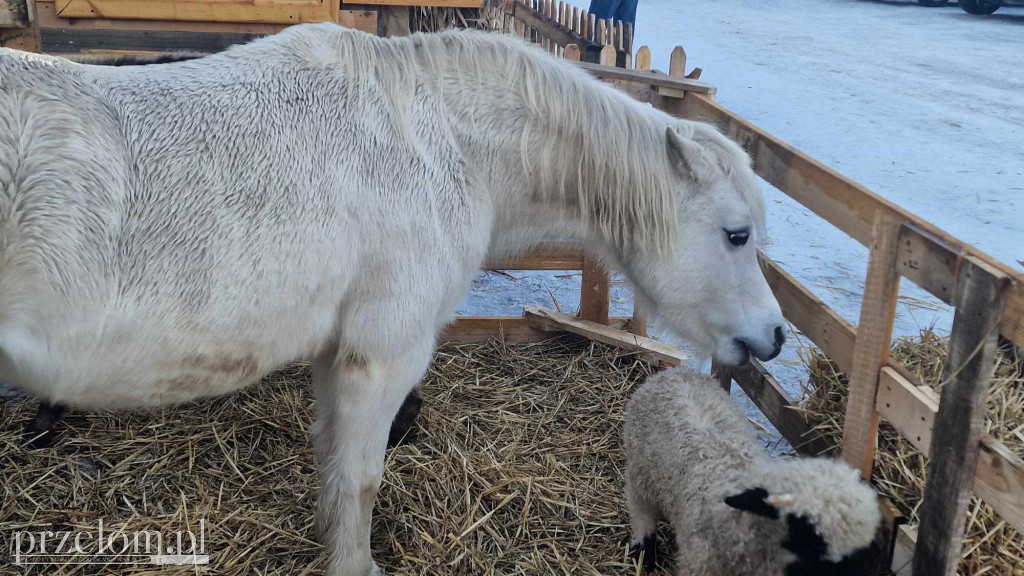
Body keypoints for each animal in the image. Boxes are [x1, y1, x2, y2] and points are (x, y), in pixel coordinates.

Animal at [0, 24, 782, 573]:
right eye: (737, 235)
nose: (771, 337)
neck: (441, 143)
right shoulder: (383, 357)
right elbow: (363, 482)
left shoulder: (335, 352)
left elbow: (333, 466)